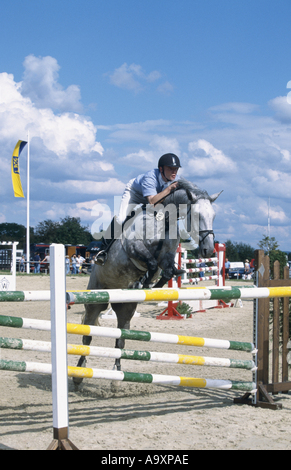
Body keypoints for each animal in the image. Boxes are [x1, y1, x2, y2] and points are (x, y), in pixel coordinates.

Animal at [73, 178, 224, 384]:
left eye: (214, 216)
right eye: (197, 215)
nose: (208, 250)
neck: (164, 220)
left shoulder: (166, 258)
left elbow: (167, 272)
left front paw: (149, 284)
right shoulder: (134, 248)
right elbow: (151, 263)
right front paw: (144, 281)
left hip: (125, 309)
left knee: (120, 338)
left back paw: (116, 376)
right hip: (95, 302)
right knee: (87, 336)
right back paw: (79, 374)